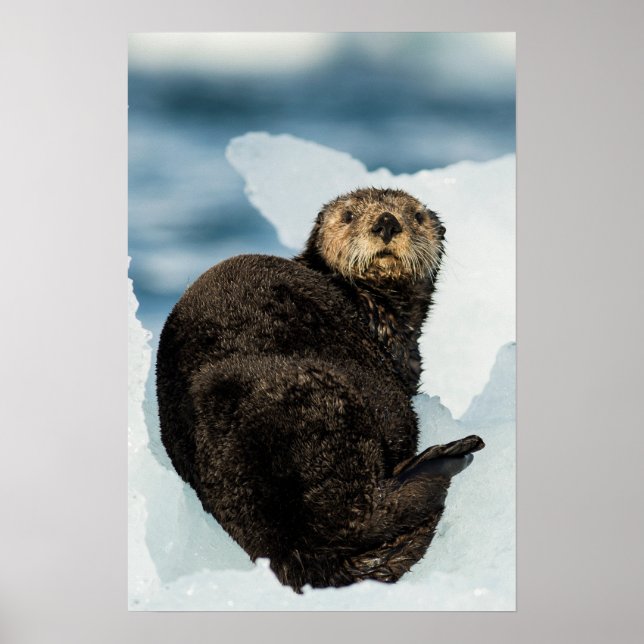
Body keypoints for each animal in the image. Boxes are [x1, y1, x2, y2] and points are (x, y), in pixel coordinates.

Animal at [156, 187, 484, 592]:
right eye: (348, 216)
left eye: (417, 216)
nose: (387, 222)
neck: (375, 309)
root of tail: (288, 547)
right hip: (340, 409)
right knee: (370, 510)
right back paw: (450, 456)